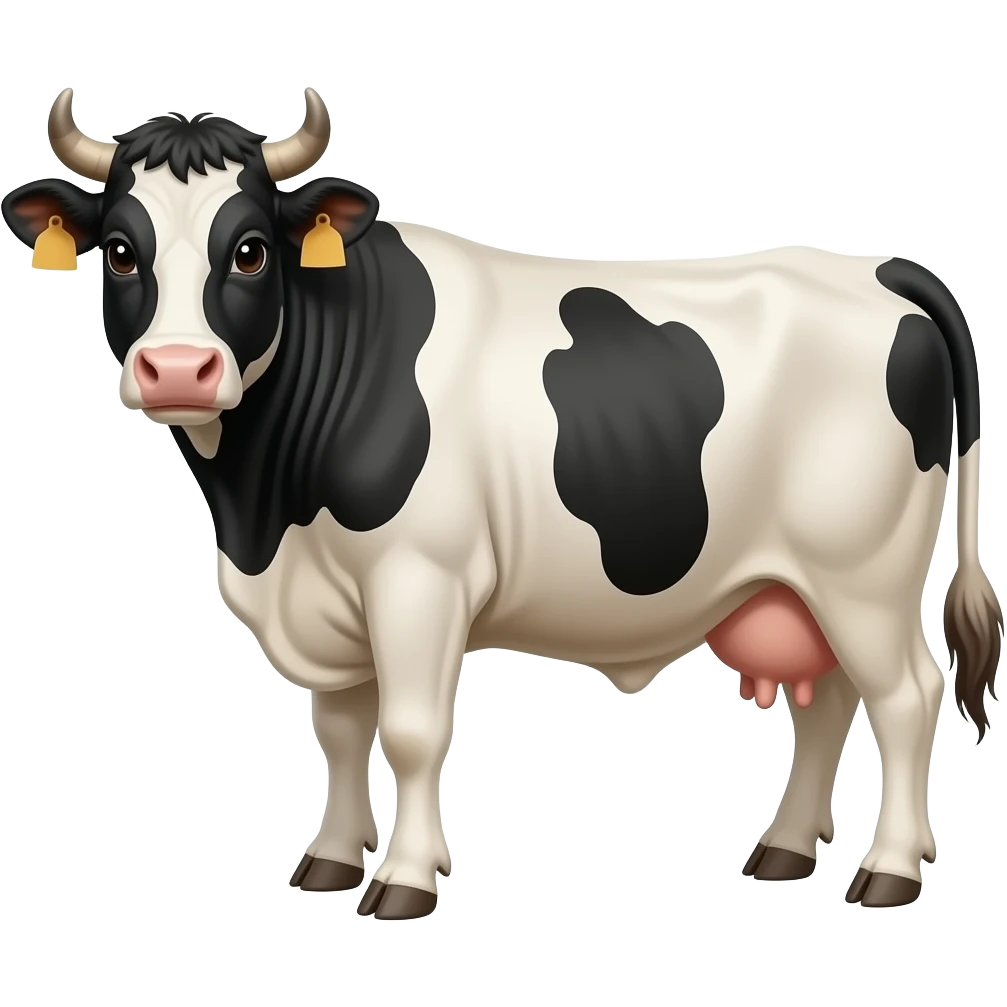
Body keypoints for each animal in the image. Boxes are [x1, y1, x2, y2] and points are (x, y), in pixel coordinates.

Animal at [3, 88, 1001, 919]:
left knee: (906, 696)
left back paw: (889, 871)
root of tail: (878, 268)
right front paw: (330, 860)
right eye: (121, 250)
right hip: (799, 582)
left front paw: (404, 879)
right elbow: (339, 730)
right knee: (828, 699)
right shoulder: (329, 598)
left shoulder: (418, 579)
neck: (265, 513)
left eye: (249, 250)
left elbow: (409, 732)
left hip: (863, 574)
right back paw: (785, 849)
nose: (177, 370)